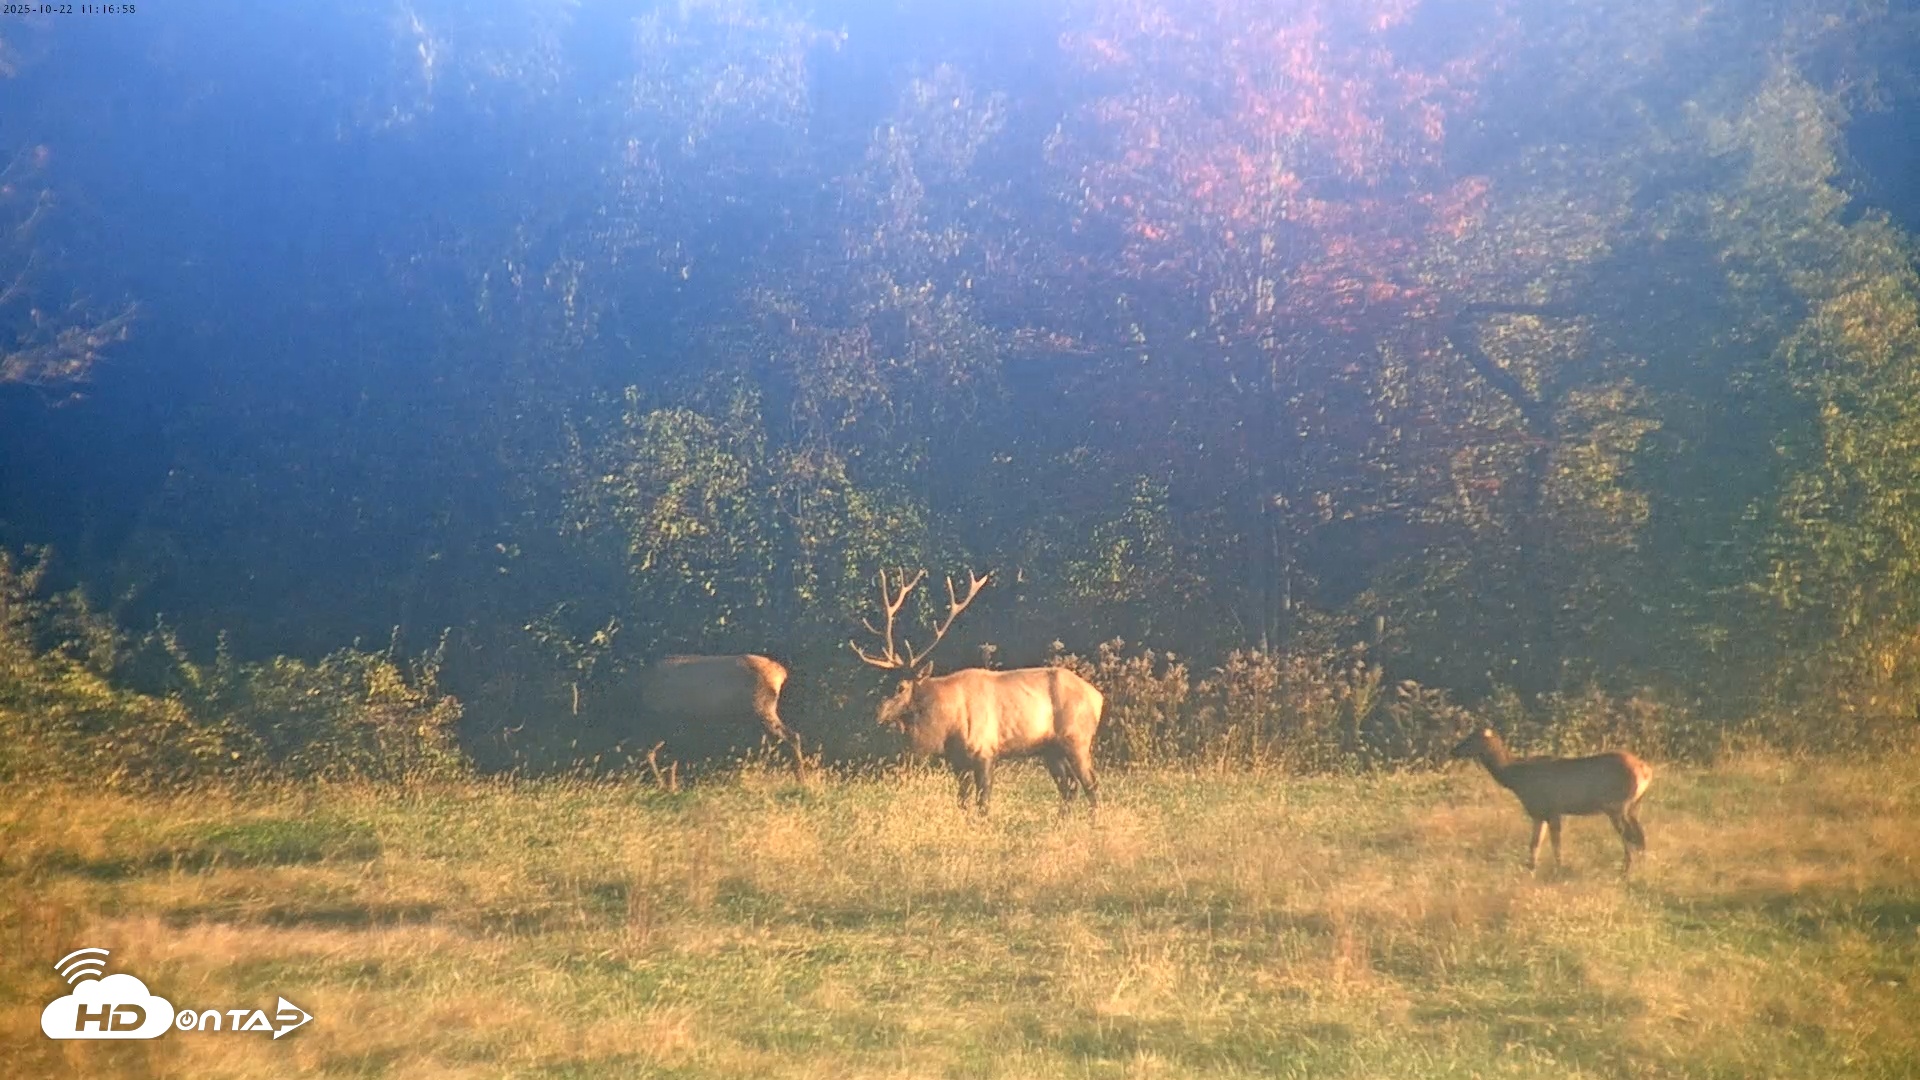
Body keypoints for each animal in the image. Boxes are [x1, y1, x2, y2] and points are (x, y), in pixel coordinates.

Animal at [851, 569, 1104, 815]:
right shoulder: (958, 762)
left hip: (1077, 739)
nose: (878, 715)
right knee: (1069, 786)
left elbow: (983, 803)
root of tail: (1099, 698)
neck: (947, 726)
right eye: (883, 683)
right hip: (1051, 749)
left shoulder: (985, 751)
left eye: (901, 687)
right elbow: (962, 802)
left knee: (1090, 785)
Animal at [1450, 726, 1653, 875]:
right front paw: (1530, 869)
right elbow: (1535, 844)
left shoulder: (1553, 810)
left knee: (1630, 836)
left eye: (1471, 738)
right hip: (1633, 806)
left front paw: (1558, 870)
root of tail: (1646, 770)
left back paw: (1626, 870)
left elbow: (1556, 845)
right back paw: (1640, 867)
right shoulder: (1538, 813)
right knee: (1640, 836)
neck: (1516, 778)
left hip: (1616, 806)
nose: (1453, 750)